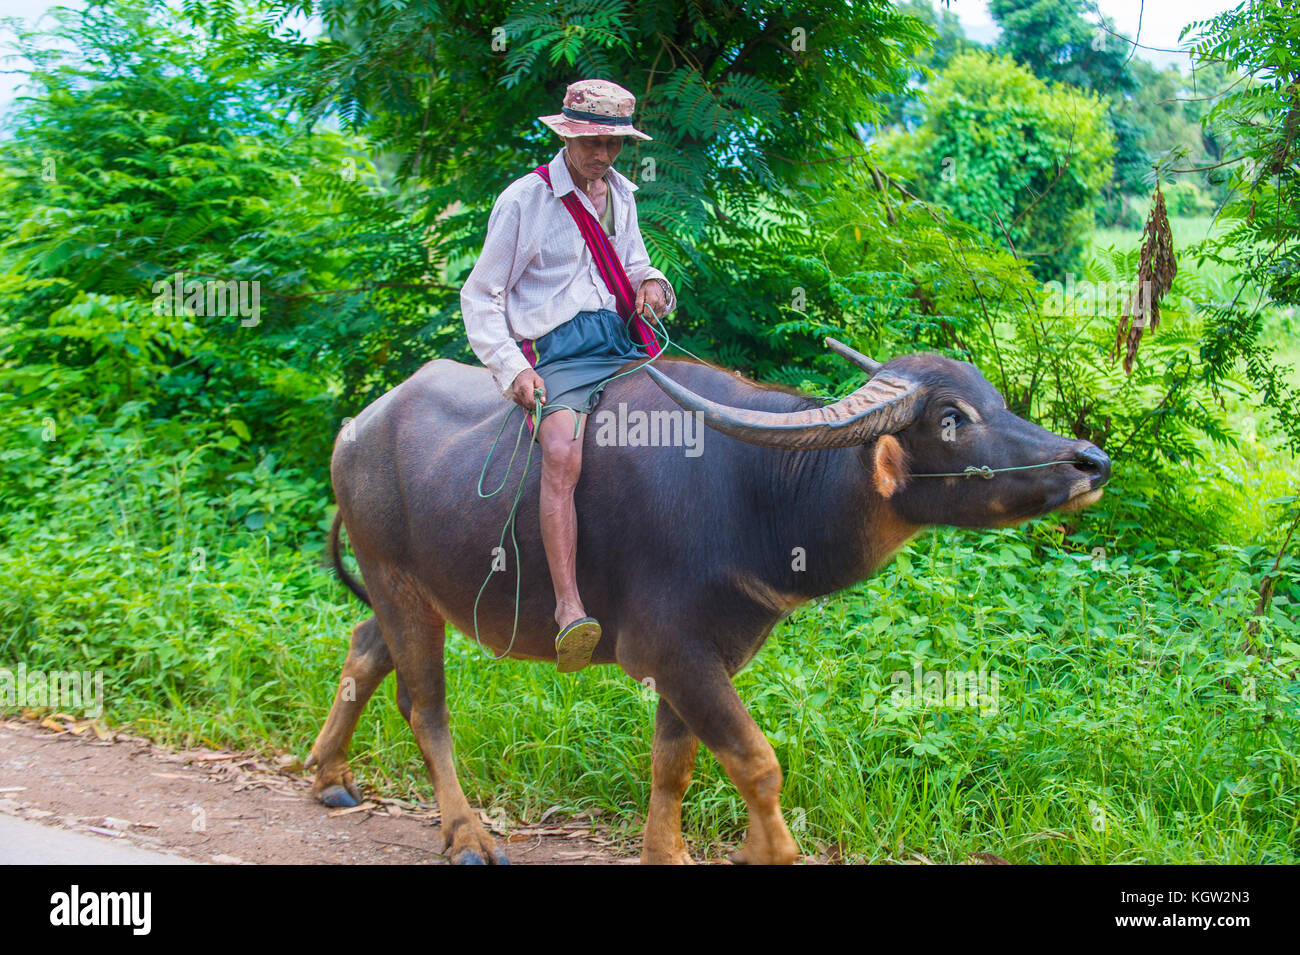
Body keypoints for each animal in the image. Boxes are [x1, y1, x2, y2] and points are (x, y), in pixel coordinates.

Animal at [307, 339, 1111, 864]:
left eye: (996, 400)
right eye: (952, 418)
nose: (1090, 462)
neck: (756, 492)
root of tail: (354, 428)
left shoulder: (697, 655)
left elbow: (676, 764)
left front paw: (666, 853)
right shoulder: (672, 649)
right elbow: (757, 762)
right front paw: (768, 852)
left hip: (411, 589)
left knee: (365, 647)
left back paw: (329, 775)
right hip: (396, 579)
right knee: (426, 706)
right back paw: (467, 836)